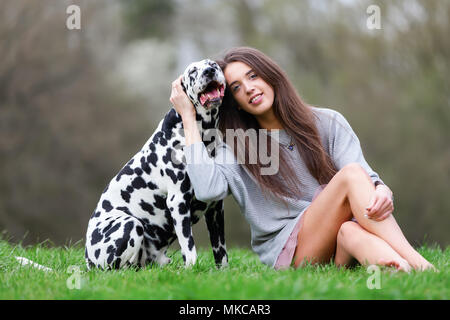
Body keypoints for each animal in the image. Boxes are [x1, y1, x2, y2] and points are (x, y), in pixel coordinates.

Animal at [86, 60, 229, 270]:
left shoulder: (215, 209)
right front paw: (191, 269)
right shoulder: (178, 202)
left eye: (213, 65)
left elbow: (221, 252)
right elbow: (189, 248)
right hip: (131, 224)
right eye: (193, 71)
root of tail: (87, 258)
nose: (209, 71)